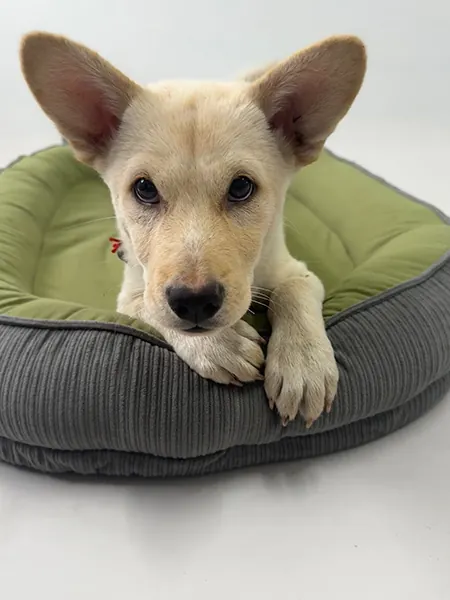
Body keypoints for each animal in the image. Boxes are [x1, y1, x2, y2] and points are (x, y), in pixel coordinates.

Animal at [20, 31, 366, 426]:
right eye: (145, 189)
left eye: (241, 187)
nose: (195, 302)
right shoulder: (132, 292)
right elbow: (150, 308)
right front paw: (218, 345)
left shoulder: (296, 270)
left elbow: (292, 292)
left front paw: (303, 364)